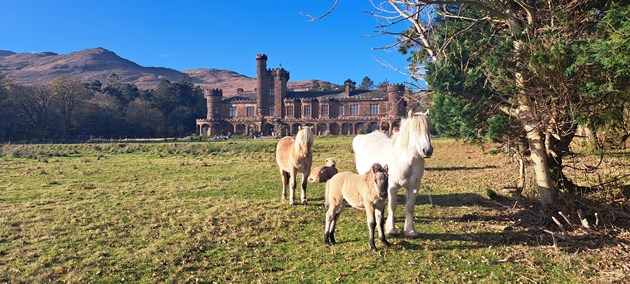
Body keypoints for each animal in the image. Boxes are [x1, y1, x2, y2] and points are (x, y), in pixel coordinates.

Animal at [354, 109, 432, 237]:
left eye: (429, 129)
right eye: (414, 130)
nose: (427, 151)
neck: (404, 160)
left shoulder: (414, 187)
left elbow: (410, 206)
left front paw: (410, 230)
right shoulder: (392, 187)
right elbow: (392, 206)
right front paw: (391, 229)